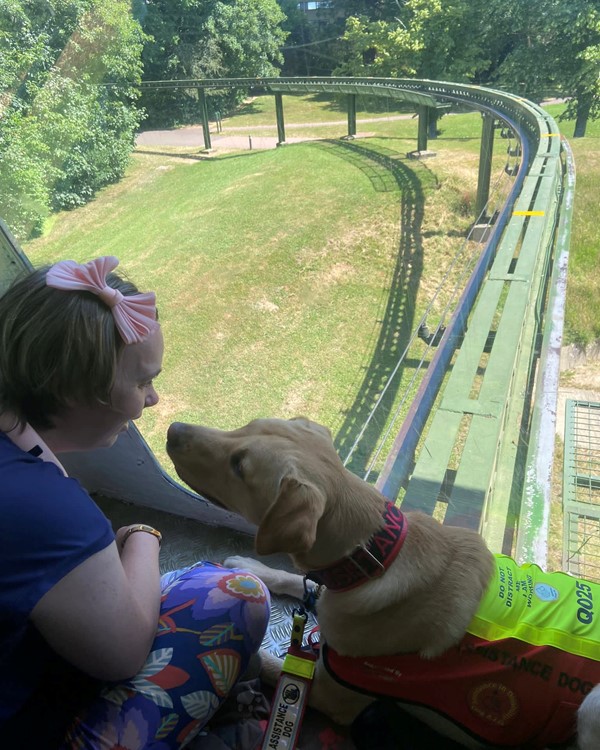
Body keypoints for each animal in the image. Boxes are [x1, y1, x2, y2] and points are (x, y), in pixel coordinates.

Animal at [166, 418, 600, 750]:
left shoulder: (329, 692)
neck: (374, 557)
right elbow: (295, 580)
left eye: (240, 466)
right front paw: (250, 565)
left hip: (589, 707)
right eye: (246, 426)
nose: (173, 429)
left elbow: (273, 663)